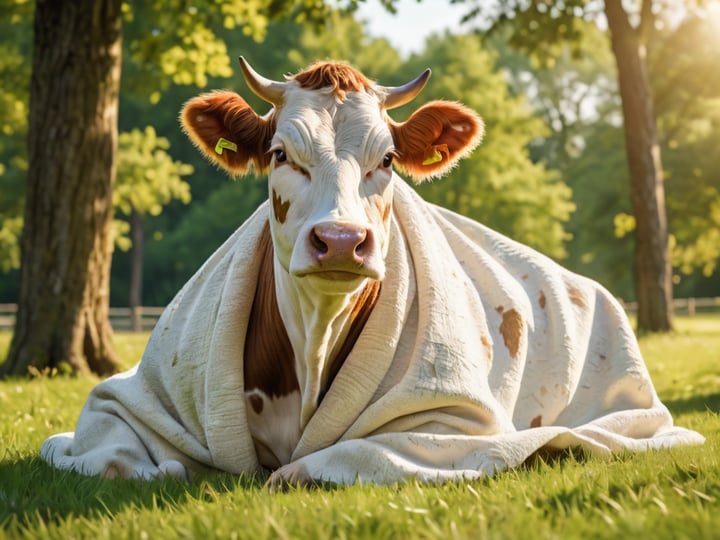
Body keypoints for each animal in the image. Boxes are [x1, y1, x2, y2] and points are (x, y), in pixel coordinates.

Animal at [40, 58, 703, 487]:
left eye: (385, 159)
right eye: (280, 154)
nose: (340, 241)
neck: (311, 346)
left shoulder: (460, 423)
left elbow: (325, 463)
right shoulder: (126, 399)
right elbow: (117, 458)